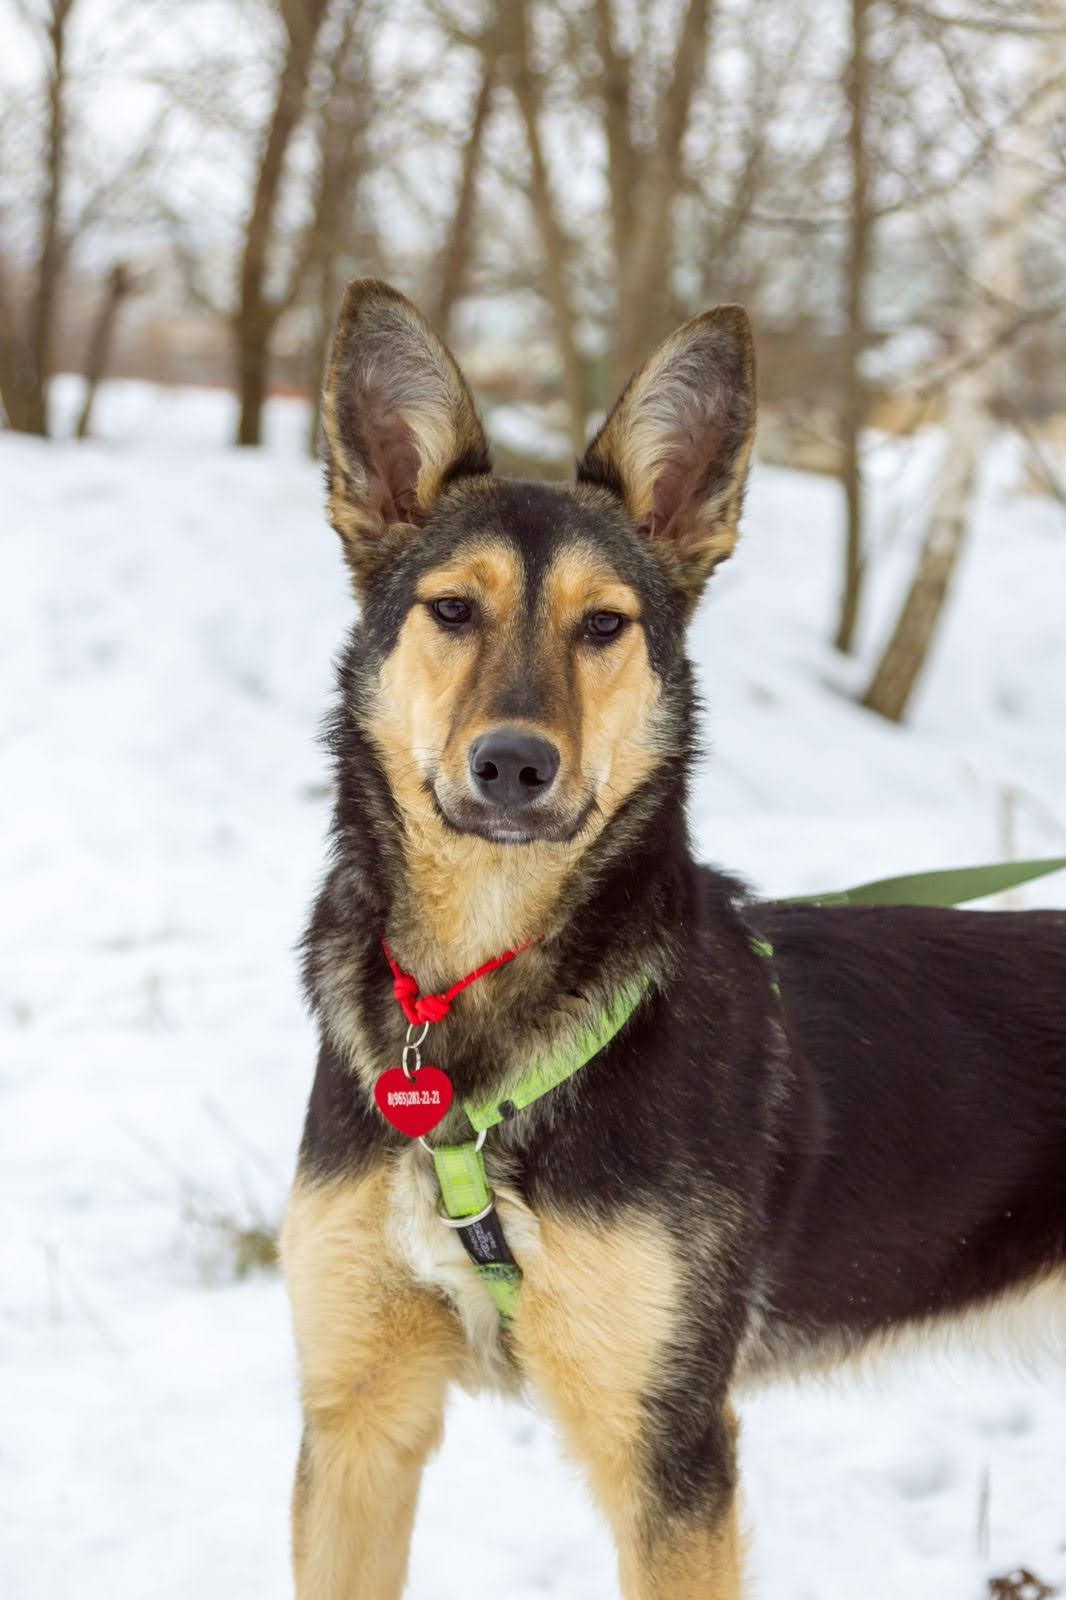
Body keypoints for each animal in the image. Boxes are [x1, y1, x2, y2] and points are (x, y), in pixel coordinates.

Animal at [278, 281, 1056, 1593]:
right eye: (452, 610)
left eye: (604, 625)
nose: (515, 764)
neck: (484, 1005)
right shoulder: (356, 1424)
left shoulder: (668, 1446)